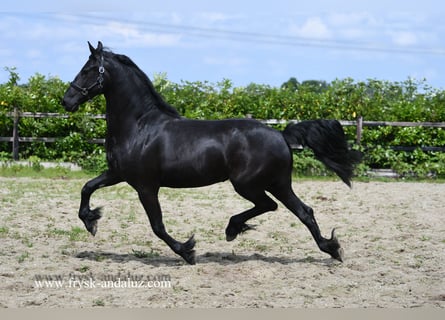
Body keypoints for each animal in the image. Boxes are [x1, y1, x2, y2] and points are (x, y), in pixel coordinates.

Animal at [62, 41, 360, 264]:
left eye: (89, 69)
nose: (67, 100)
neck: (139, 127)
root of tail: (281, 135)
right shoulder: (118, 173)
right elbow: (87, 187)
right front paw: (91, 221)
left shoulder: (146, 186)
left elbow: (157, 226)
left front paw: (187, 251)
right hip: (277, 183)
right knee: (303, 211)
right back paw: (331, 249)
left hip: (248, 184)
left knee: (271, 206)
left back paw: (234, 229)